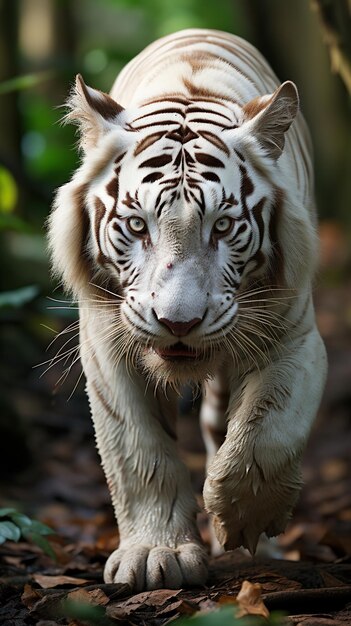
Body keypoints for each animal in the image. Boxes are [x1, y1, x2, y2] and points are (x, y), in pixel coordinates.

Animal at [48, 29, 328, 588]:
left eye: (222, 226)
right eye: (137, 225)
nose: (179, 323)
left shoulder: (297, 338)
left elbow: (269, 429)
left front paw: (243, 518)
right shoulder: (107, 347)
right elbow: (139, 454)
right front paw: (158, 554)